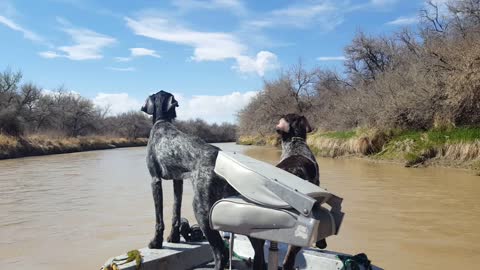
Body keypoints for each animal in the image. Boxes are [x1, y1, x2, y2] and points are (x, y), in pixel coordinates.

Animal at [140, 91, 237, 270]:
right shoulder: (178, 181)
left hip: (201, 210)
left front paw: (156, 242)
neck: (162, 122)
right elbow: (175, 212)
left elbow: (159, 218)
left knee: (220, 252)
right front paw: (174, 237)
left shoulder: (155, 180)